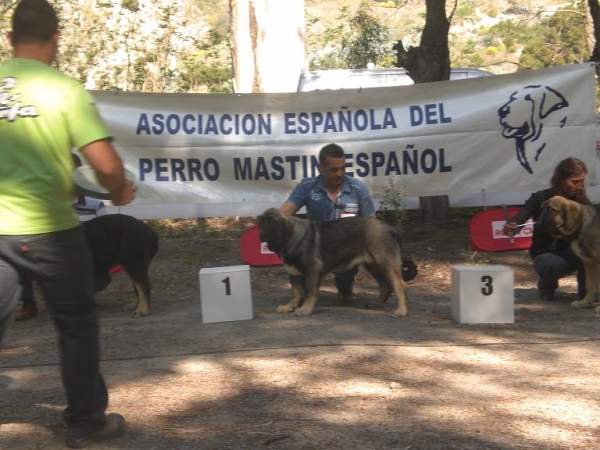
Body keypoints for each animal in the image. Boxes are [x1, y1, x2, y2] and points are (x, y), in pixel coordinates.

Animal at [258, 207, 418, 316]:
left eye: (272, 221)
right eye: (262, 221)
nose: (261, 232)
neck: (290, 239)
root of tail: (391, 227)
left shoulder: (312, 269)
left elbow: (309, 292)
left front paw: (305, 309)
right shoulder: (294, 272)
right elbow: (296, 292)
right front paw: (290, 306)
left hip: (385, 262)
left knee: (399, 284)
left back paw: (401, 310)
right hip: (374, 265)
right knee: (385, 285)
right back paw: (376, 304)